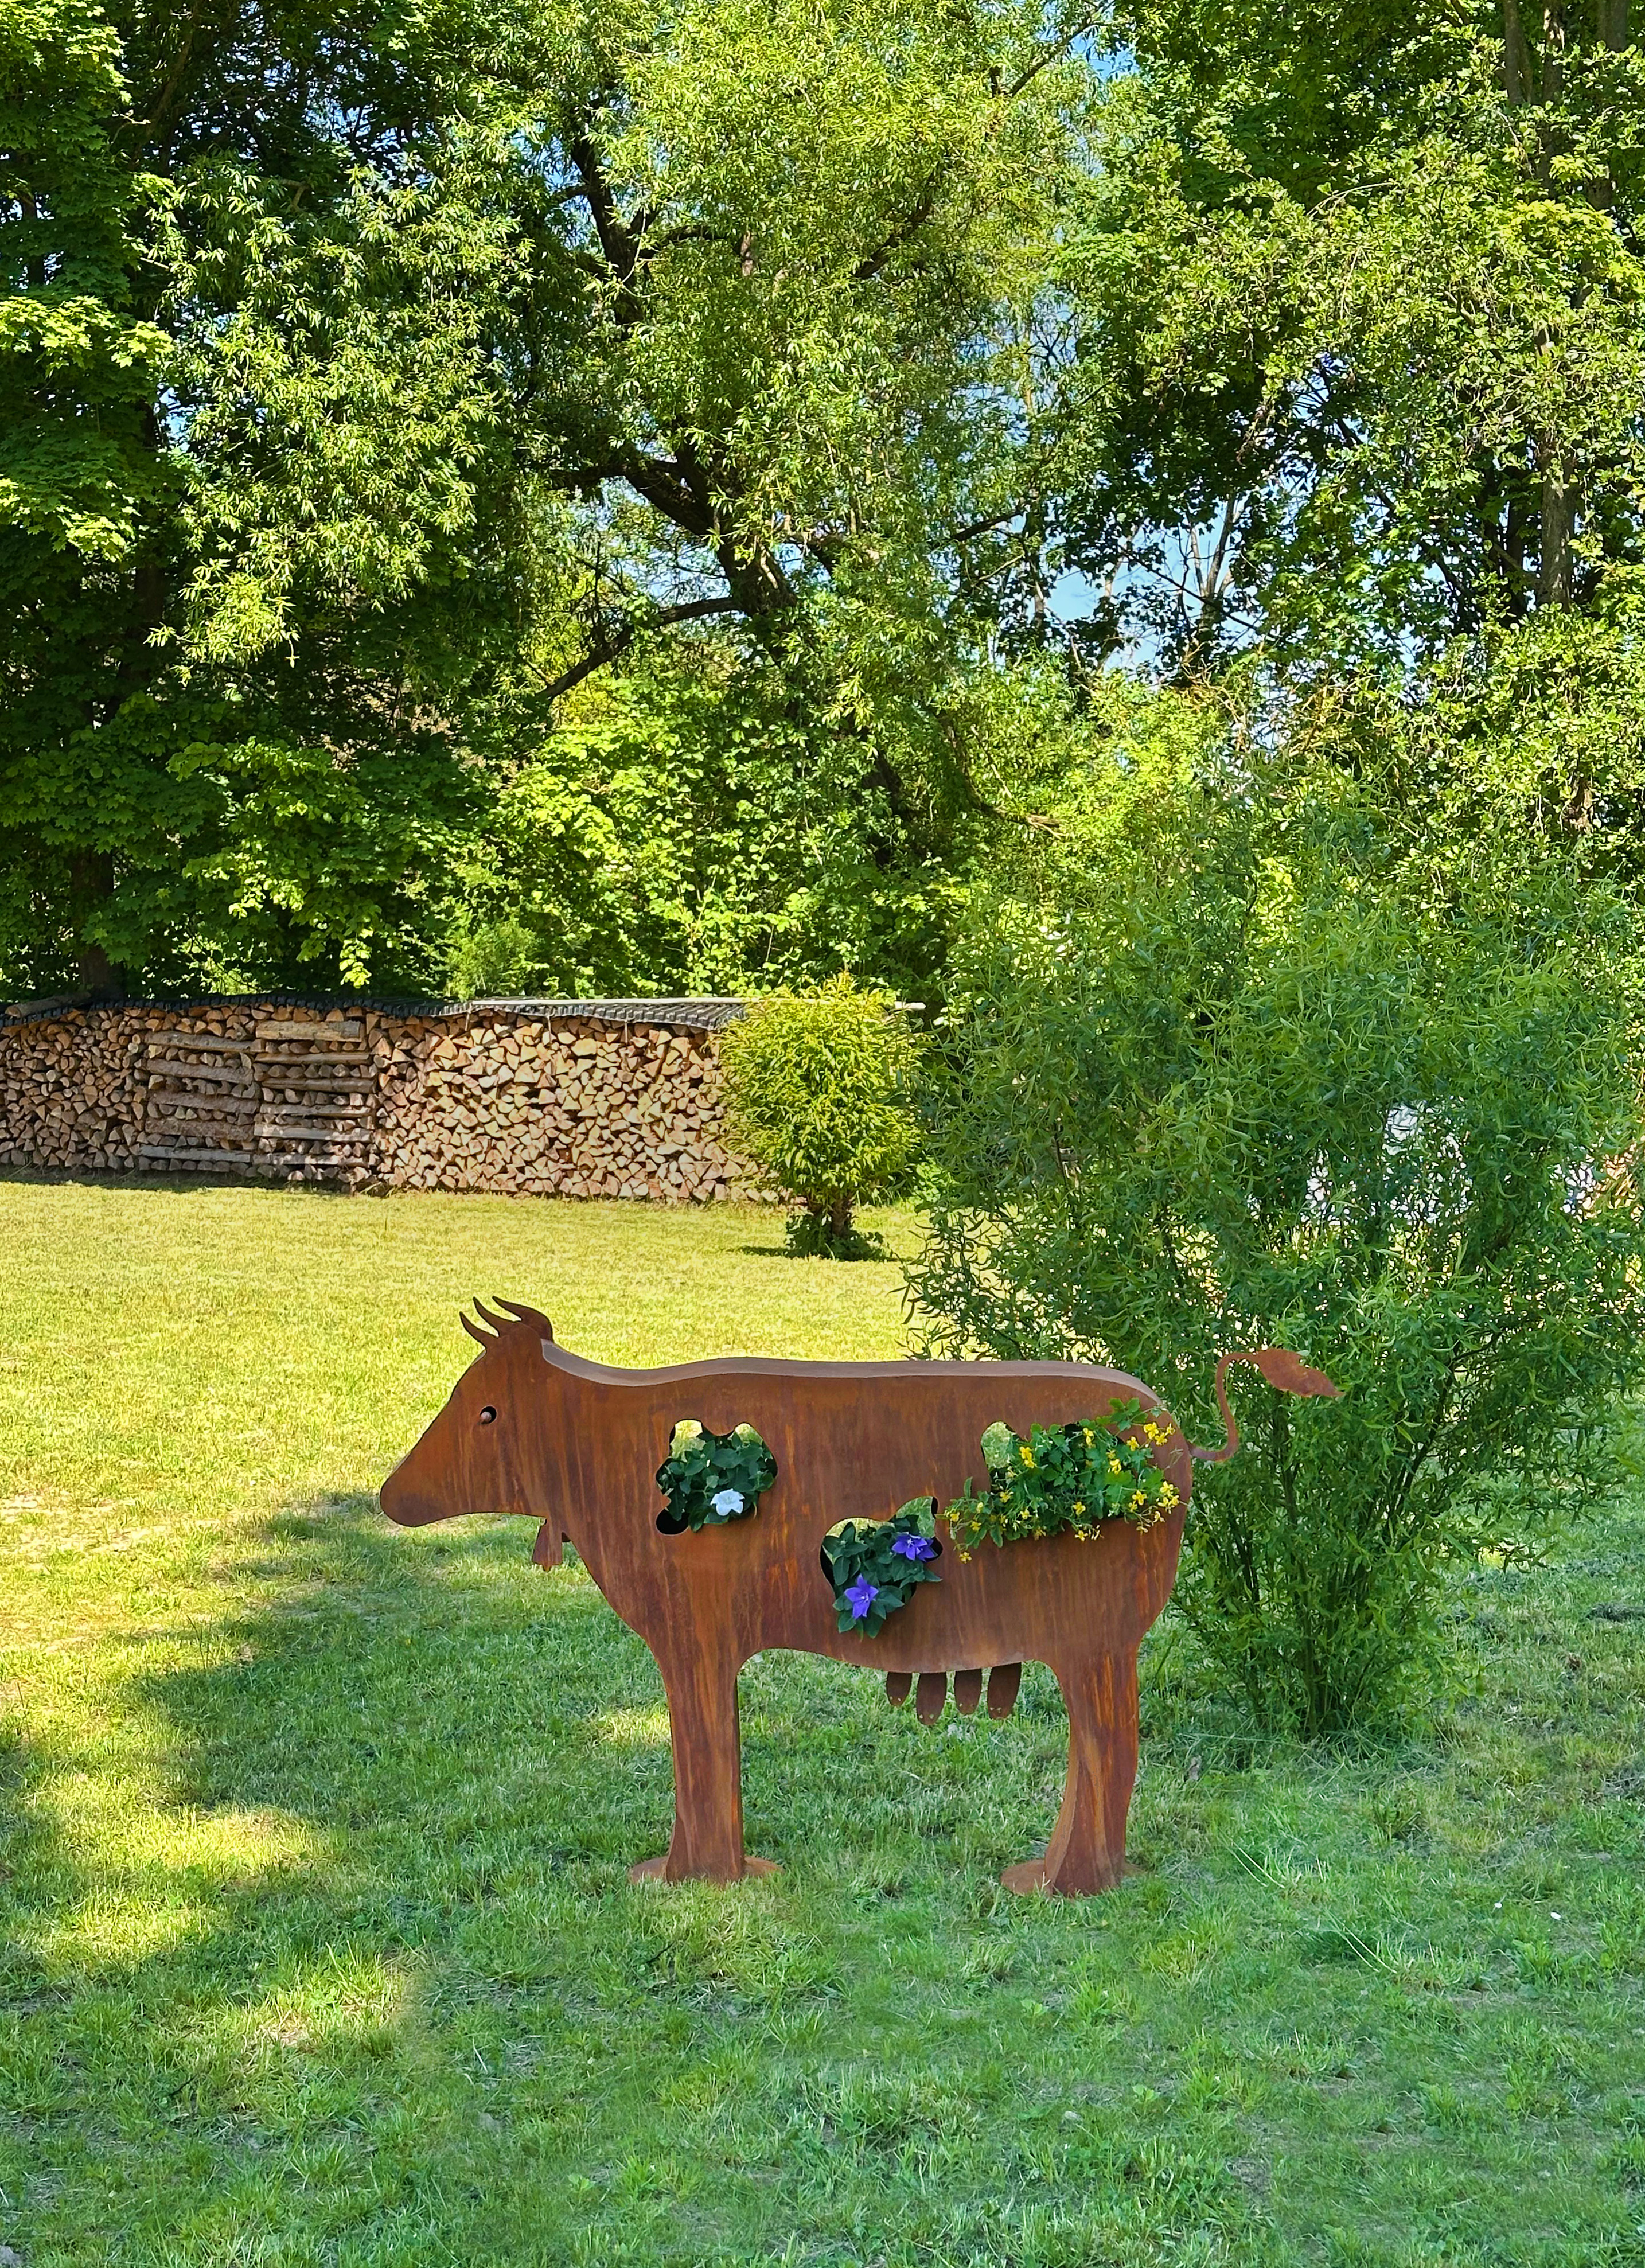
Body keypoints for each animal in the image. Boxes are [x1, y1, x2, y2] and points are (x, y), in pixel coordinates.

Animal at [379, 1303, 1338, 1894]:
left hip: (1100, 1640)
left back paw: (1051, 1886)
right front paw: (694, 1877)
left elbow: (700, 1753)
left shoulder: (693, 1638)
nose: (390, 1496)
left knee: (1111, 1750)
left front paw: (694, 1880)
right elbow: (705, 1757)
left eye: (488, 1412)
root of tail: (1174, 1439)